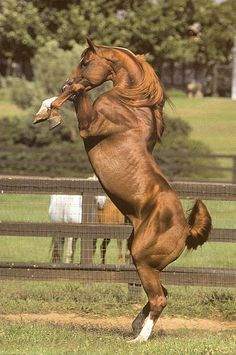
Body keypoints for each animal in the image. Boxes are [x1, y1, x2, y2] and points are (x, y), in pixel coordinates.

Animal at [32, 38, 210, 342]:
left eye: (86, 62)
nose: (65, 79)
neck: (130, 104)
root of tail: (186, 229)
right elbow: (69, 95)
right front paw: (44, 111)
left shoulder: (89, 125)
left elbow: (78, 91)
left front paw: (52, 112)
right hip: (147, 263)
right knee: (160, 294)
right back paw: (136, 325)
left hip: (142, 260)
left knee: (159, 298)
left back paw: (139, 339)